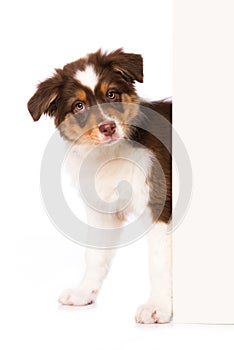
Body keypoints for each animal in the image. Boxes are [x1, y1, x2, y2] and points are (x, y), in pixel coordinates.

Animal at [28, 48, 173, 322]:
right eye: (79, 105)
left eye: (111, 94)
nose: (108, 127)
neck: (112, 152)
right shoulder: (103, 212)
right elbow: (95, 255)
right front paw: (84, 292)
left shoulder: (160, 205)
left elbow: (159, 261)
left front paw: (158, 306)